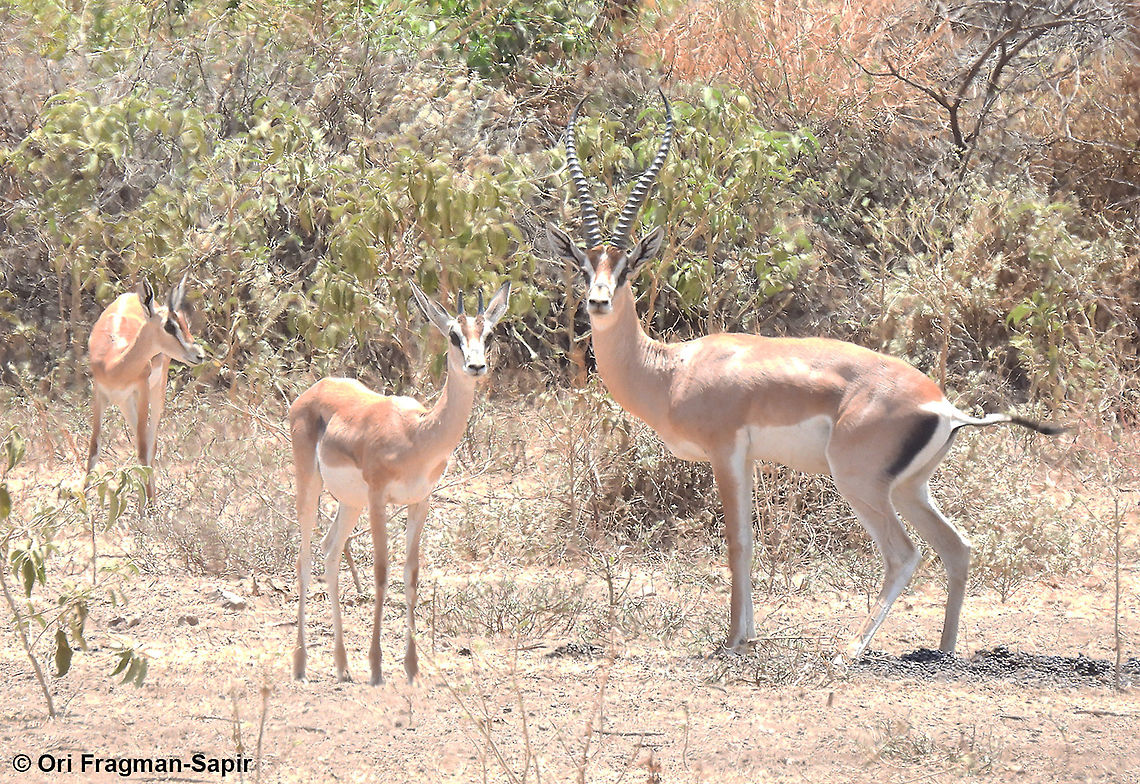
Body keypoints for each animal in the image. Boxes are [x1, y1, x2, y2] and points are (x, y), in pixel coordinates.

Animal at [87, 275, 206, 503]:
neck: (113, 364)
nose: (200, 355)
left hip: (156, 390)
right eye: (169, 326)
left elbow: (143, 451)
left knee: (151, 443)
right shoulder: (99, 393)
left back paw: (151, 501)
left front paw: (147, 509)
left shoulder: (141, 390)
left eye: (184, 323)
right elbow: (94, 449)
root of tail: (130, 295)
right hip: (124, 402)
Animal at [290, 281, 511, 685]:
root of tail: (314, 390)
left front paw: (411, 667)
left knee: (330, 551)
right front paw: (377, 666)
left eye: (488, 334)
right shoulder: (379, 498)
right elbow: (381, 573)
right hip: (311, 486)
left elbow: (411, 575)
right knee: (304, 557)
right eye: (453, 335)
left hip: (351, 503)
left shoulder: (420, 502)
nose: (476, 366)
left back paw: (342, 666)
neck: (417, 434)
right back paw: (300, 664)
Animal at [546, 91, 1064, 661]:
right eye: (585, 266)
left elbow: (737, 542)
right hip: (910, 488)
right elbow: (748, 540)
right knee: (958, 547)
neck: (672, 370)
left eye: (627, 269)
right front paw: (747, 633)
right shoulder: (747, 459)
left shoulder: (726, 452)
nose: (597, 302)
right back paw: (942, 651)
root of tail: (943, 406)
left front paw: (734, 639)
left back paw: (852, 647)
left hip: (858, 482)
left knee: (904, 554)